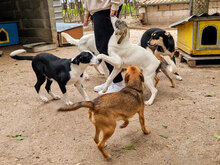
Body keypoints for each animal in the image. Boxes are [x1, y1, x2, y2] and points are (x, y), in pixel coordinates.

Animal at [9, 16, 182, 159]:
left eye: (119, 22)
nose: (113, 14)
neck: (119, 41)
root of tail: (157, 60)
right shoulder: (117, 67)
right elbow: (109, 78)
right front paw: (103, 89)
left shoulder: (117, 62)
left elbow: (102, 56)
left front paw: (97, 60)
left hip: (146, 77)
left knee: (155, 89)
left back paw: (150, 101)